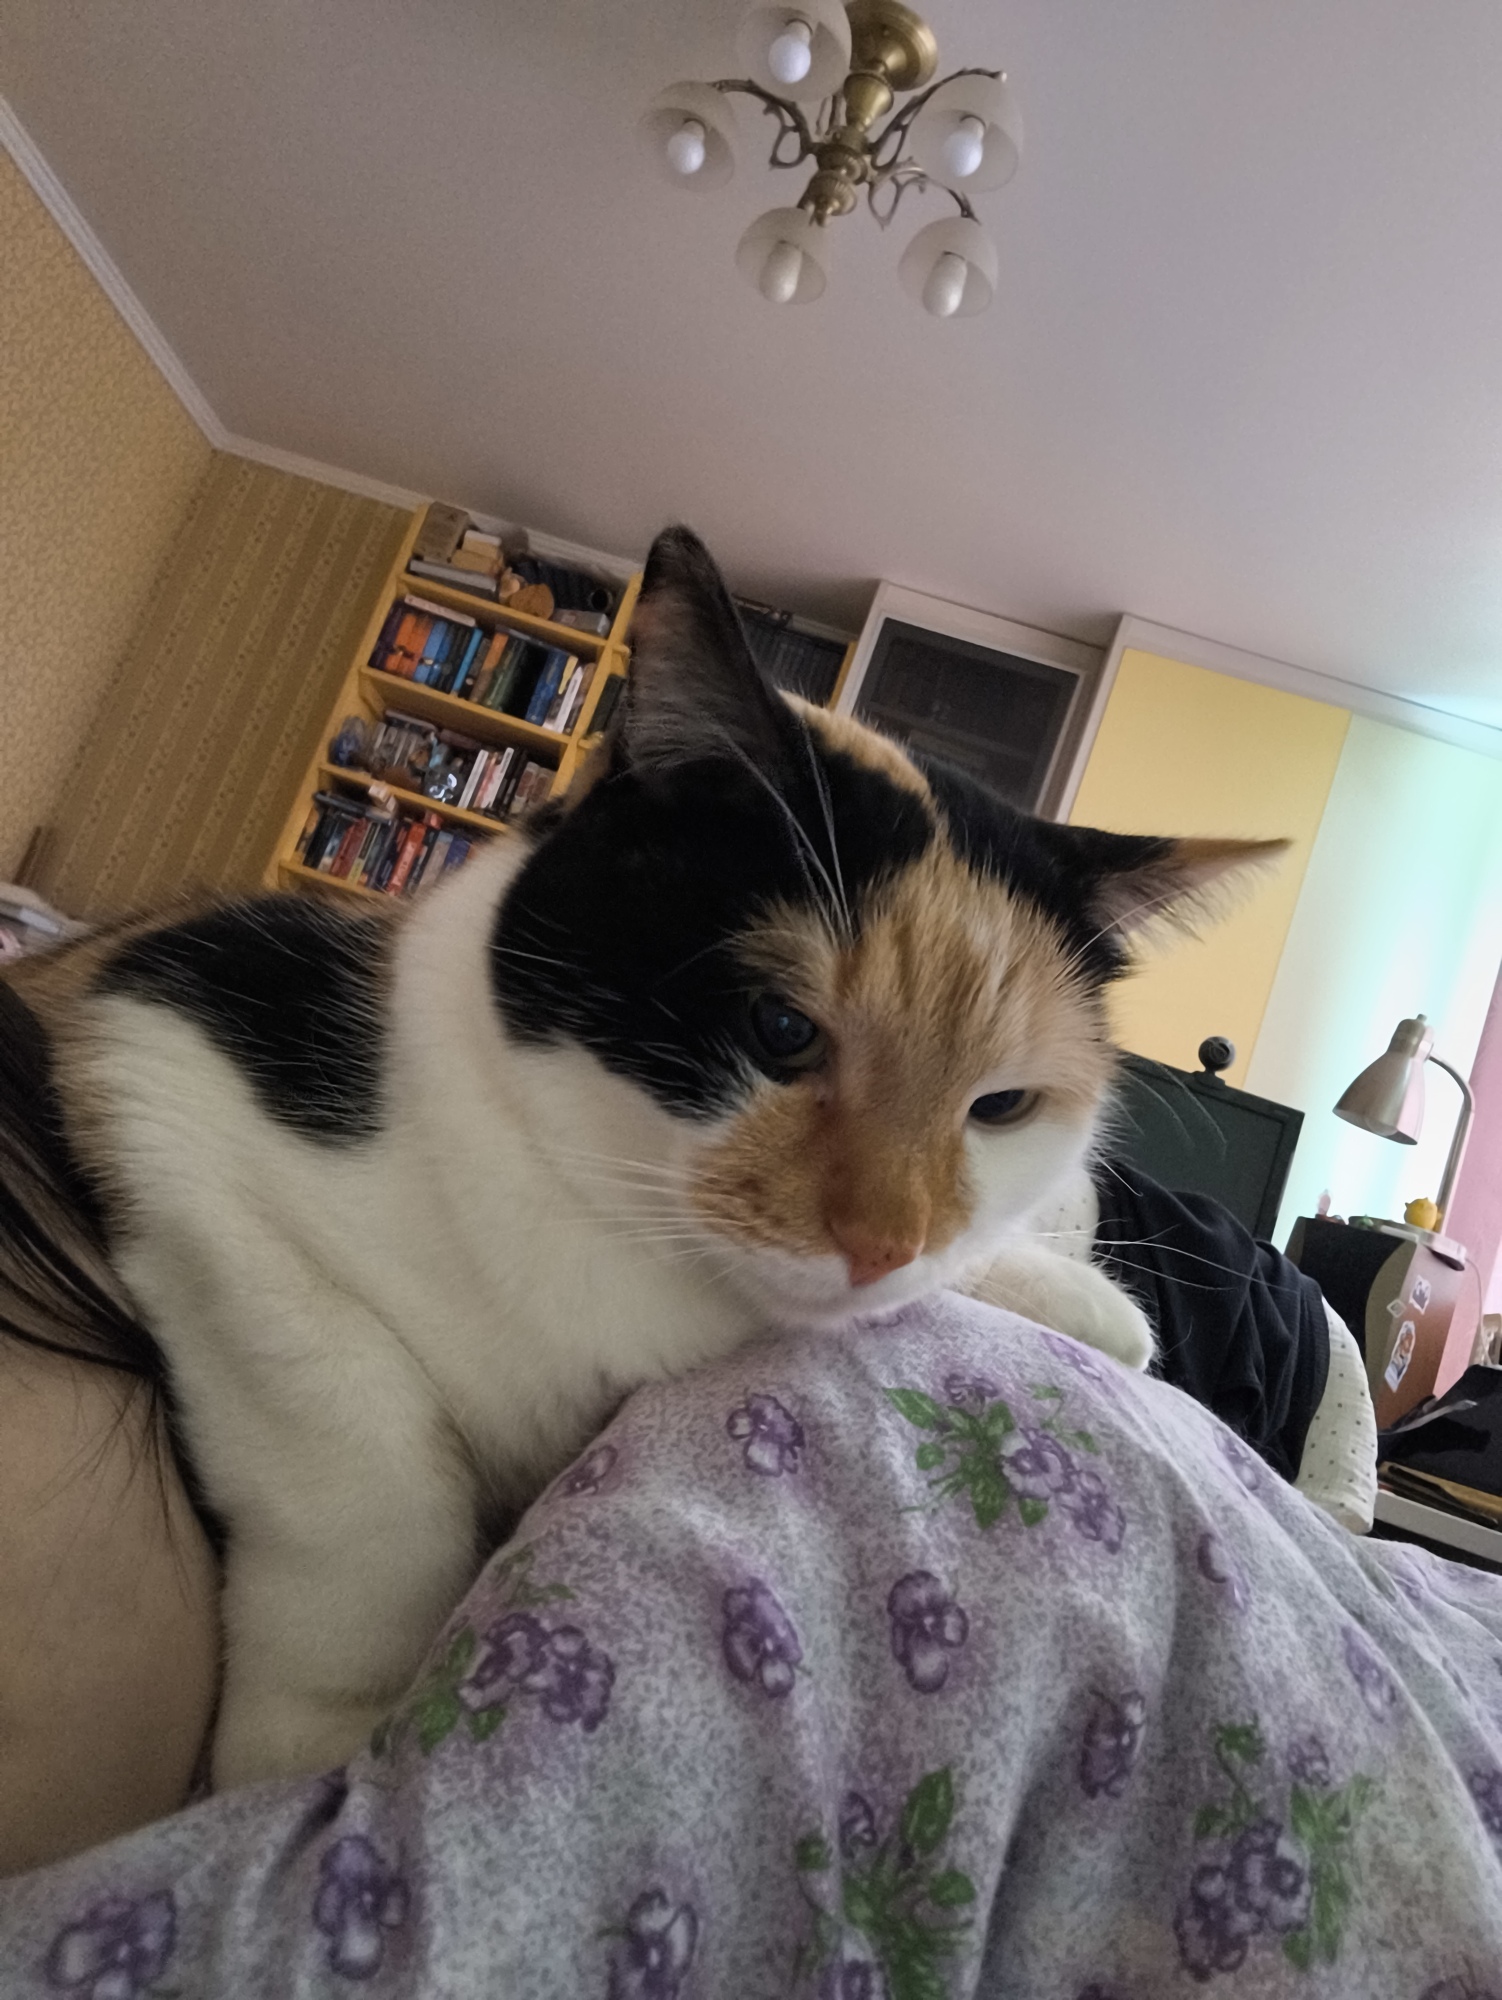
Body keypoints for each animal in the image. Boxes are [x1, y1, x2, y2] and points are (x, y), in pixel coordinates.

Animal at [1, 526, 1284, 1790]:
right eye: (779, 1029)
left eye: (1000, 1104)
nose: (884, 1243)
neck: (624, 1243)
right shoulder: (160, 1072)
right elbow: (363, 1461)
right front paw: (311, 1743)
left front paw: (1081, 1303)